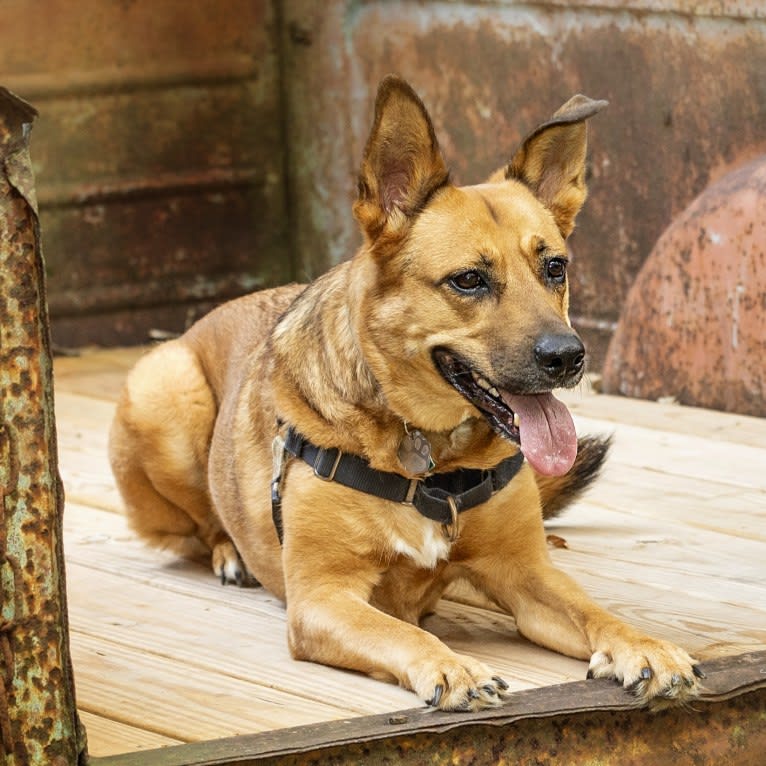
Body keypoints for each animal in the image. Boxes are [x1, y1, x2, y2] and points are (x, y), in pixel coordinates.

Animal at [109, 75, 708, 712]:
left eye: (555, 268)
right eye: (468, 280)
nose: (568, 357)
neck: (432, 458)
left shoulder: (527, 576)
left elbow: (598, 612)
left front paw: (647, 647)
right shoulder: (322, 598)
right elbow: (400, 630)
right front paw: (454, 667)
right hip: (166, 389)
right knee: (200, 528)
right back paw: (229, 553)